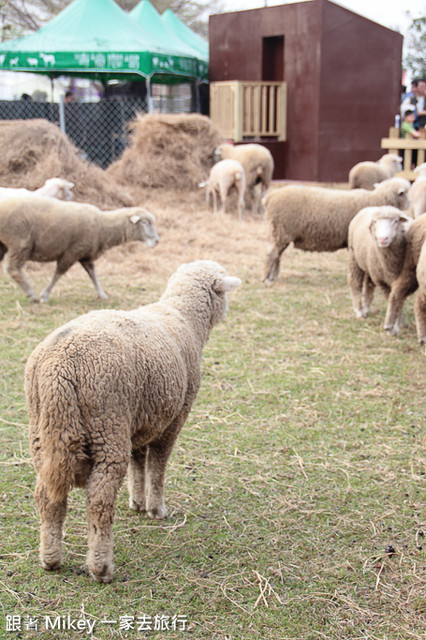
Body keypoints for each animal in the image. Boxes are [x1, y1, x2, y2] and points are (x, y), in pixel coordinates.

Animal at [0, 196, 158, 304]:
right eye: (144, 222)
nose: (157, 241)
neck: (103, 226)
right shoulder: (73, 251)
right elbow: (59, 273)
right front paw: (44, 295)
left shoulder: (85, 255)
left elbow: (93, 274)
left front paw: (102, 294)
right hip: (19, 242)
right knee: (13, 269)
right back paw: (31, 294)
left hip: (5, 243)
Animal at [25, 262, 241, 584]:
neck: (184, 317)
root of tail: (58, 368)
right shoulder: (173, 419)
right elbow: (157, 466)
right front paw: (155, 508)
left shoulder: (141, 422)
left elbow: (138, 464)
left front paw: (137, 503)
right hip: (107, 426)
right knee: (99, 501)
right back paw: (101, 567)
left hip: (44, 432)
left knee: (47, 497)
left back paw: (50, 558)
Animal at [262, 176, 410, 284]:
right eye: (406, 193)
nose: (409, 205)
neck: (377, 199)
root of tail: (269, 198)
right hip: (281, 231)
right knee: (271, 253)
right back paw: (267, 279)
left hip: (280, 233)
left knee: (277, 255)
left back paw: (273, 276)